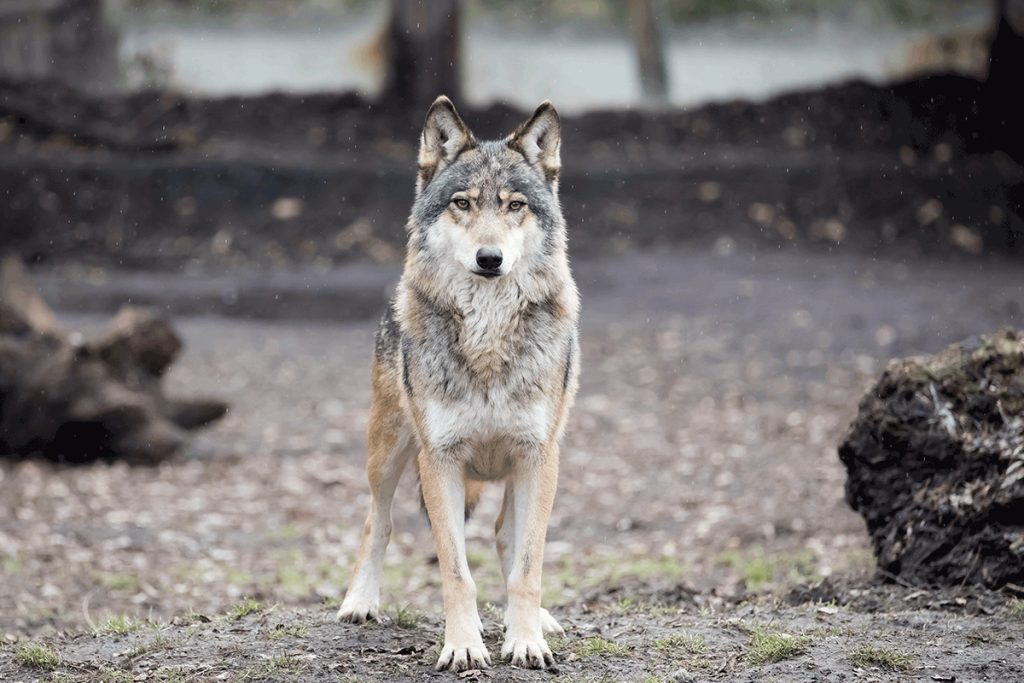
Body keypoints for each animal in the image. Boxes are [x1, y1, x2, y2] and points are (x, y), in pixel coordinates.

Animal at [335, 96, 577, 671]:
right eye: (462, 204)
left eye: (515, 206)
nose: (489, 259)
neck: (487, 337)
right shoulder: (438, 458)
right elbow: (455, 571)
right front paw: (463, 645)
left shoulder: (538, 455)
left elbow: (528, 564)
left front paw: (527, 640)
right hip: (388, 453)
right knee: (377, 521)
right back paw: (360, 602)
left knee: (506, 537)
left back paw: (539, 621)